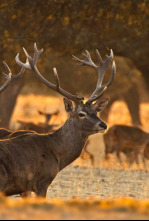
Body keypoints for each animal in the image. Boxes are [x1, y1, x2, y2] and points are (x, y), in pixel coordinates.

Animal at [0, 43, 116, 197]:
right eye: (81, 114)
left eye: (96, 112)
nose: (103, 125)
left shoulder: (25, 188)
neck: (57, 154)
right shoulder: (41, 181)